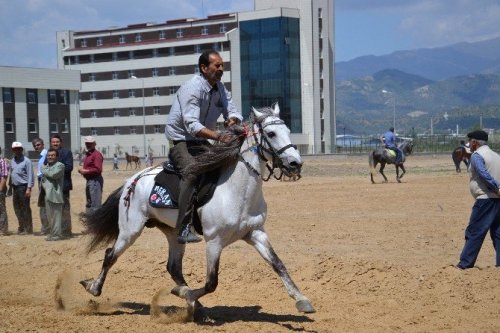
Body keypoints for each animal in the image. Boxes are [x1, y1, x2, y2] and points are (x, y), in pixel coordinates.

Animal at [79, 103, 314, 320]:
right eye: (271, 133)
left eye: (288, 130)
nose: (295, 164)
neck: (236, 191)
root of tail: (132, 180)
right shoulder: (214, 241)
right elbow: (211, 282)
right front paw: (189, 295)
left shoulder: (255, 233)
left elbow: (278, 264)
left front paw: (302, 300)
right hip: (130, 230)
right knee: (111, 255)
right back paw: (93, 287)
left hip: (173, 233)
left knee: (173, 267)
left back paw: (192, 301)